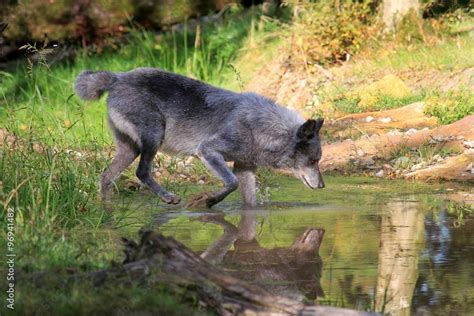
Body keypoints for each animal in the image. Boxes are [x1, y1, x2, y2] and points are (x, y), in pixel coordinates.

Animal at [75, 67, 326, 207]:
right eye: (314, 161)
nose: (323, 186)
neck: (260, 127)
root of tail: (117, 78)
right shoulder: (208, 151)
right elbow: (231, 183)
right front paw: (208, 200)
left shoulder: (244, 168)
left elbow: (249, 202)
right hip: (154, 137)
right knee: (141, 172)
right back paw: (168, 197)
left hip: (131, 149)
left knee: (106, 178)